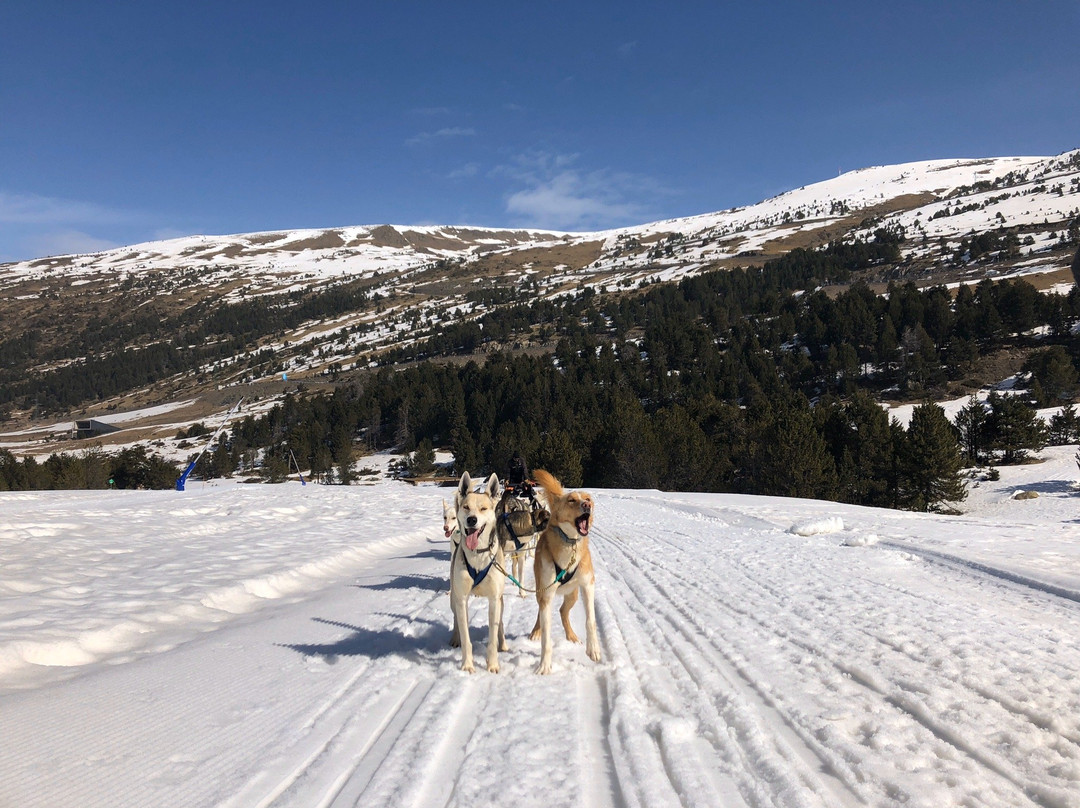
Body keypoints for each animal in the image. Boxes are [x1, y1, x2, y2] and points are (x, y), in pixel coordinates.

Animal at [451, 470, 509, 674]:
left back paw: (503, 644)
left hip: (500, 601)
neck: (477, 555)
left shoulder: (494, 599)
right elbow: (466, 635)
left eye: (483, 509)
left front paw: (492, 664)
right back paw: (455, 638)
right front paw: (467, 664)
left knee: (500, 625)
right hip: (453, 597)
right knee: (456, 620)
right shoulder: (461, 599)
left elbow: (492, 636)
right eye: (466, 507)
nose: (472, 520)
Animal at [529, 470, 600, 674]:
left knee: (562, 611)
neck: (570, 543)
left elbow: (591, 620)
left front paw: (593, 649)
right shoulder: (547, 593)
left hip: (573, 595)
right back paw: (536, 632)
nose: (587, 505)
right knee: (541, 612)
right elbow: (546, 636)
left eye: (587, 499)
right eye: (571, 500)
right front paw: (544, 665)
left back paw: (572, 636)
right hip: (540, 591)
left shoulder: (588, 585)